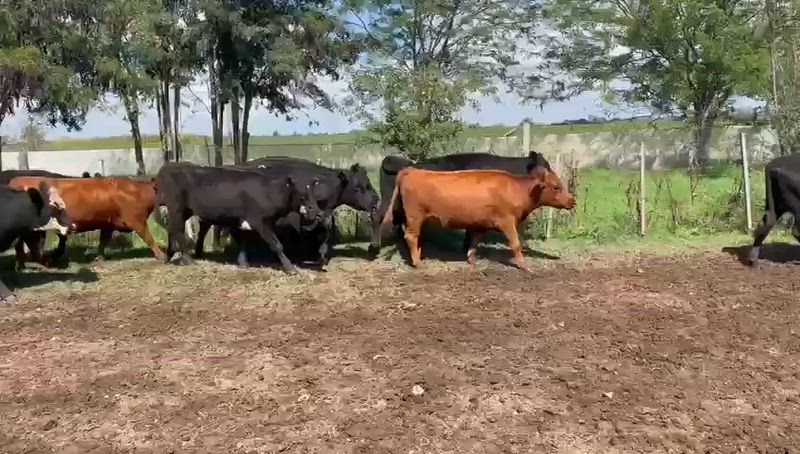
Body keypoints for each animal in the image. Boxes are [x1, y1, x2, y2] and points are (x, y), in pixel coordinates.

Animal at [7, 176, 164, 268]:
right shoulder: (136, 221)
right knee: (33, 250)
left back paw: (22, 265)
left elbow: (103, 242)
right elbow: (149, 238)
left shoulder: (108, 223)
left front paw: (100, 258)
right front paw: (160, 255)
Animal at [155, 162, 324, 274]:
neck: (270, 190)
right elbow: (277, 245)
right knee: (177, 231)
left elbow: (242, 242)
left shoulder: (238, 219)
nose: (317, 213)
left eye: (313, 192)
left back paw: (168, 256)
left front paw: (243, 263)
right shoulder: (261, 222)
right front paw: (290, 268)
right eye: (301, 194)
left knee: (171, 229)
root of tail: (170, 165)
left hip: (184, 211)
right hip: (176, 208)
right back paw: (187, 259)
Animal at [379, 166, 575, 271]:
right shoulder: (506, 221)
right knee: (411, 237)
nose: (572, 200)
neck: (517, 188)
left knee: (415, 237)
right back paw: (418, 263)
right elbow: (516, 244)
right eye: (556, 187)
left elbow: (474, 241)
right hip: (415, 215)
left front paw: (471, 260)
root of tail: (412, 170)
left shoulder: (481, 223)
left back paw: (418, 257)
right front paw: (524, 265)